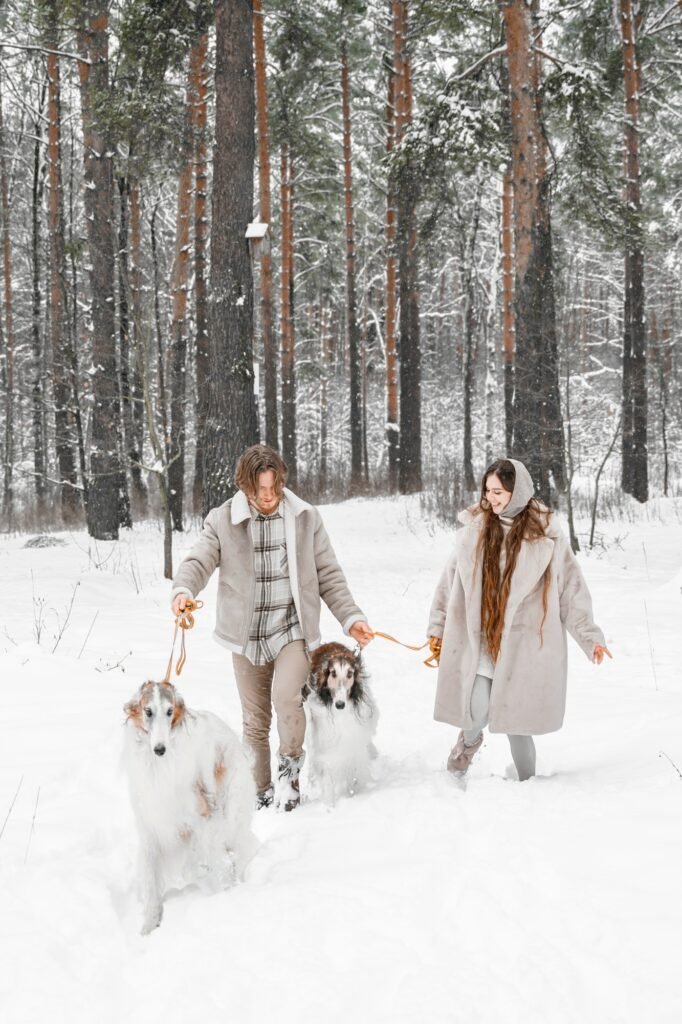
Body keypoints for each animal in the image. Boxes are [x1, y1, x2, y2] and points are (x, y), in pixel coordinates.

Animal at [122, 679, 254, 937]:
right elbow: (152, 884)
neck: (159, 767)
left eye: (170, 711)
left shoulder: (202, 818)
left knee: (241, 848)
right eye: (148, 711)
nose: (159, 749)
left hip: (231, 810)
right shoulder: (149, 827)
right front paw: (149, 925)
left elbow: (197, 863)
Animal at [303, 643, 376, 802]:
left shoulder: (353, 738)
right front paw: (329, 803)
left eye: (350, 674)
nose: (340, 705)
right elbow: (326, 769)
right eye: (333, 673)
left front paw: (352, 792)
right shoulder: (325, 738)